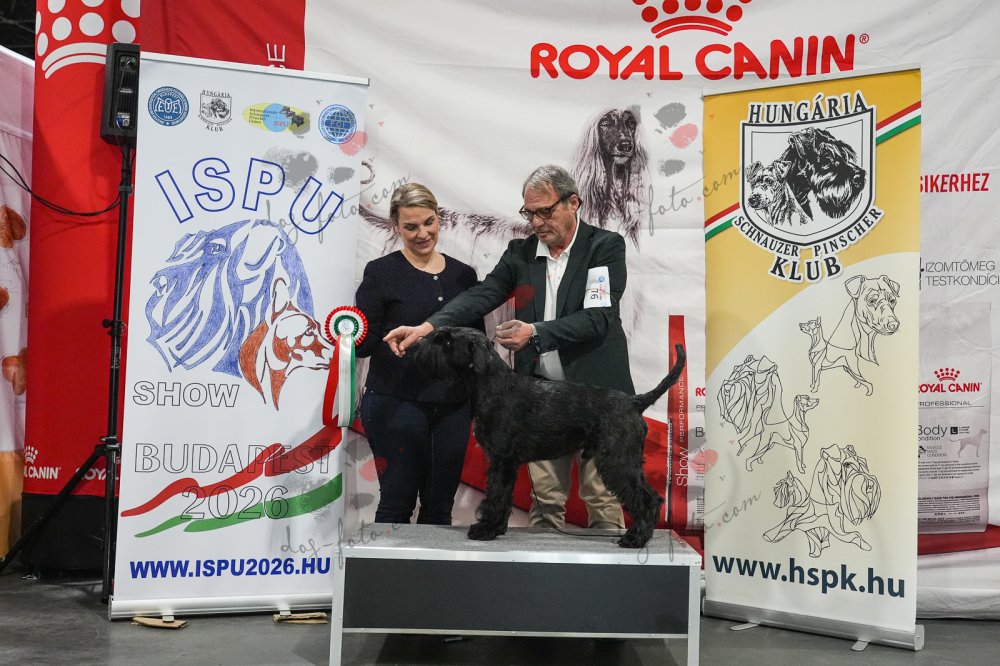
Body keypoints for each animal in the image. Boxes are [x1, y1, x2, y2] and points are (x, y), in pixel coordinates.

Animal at [411, 326, 685, 548]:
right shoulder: (508, 463)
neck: (492, 385)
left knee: (649, 499)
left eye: (447, 340)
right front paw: (497, 527)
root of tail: (634, 402)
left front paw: (485, 529)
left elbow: (495, 494)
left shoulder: (500, 460)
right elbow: (503, 495)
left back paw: (635, 538)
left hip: (618, 462)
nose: (419, 345)